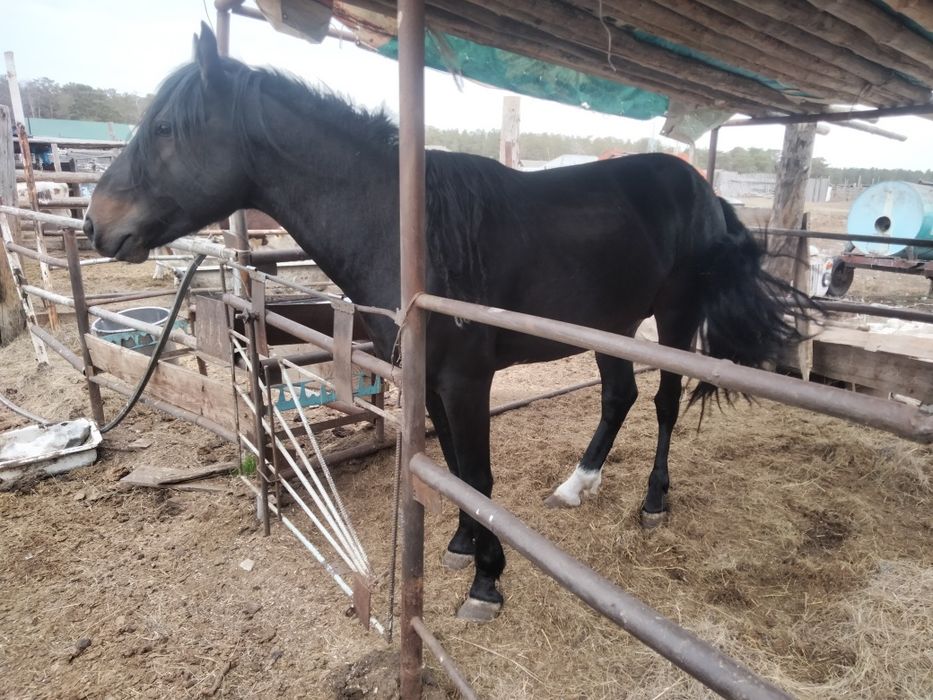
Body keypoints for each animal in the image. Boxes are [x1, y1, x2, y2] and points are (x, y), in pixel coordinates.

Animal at [85, 25, 805, 620]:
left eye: (166, 129)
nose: (96, 224)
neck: (411, 232)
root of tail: (704, 189)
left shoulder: (465, 380)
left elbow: (478, 475)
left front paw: (487, 581)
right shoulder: (427, 375)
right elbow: (454, 466)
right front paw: (463, 542)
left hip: (674, 317)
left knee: (662, 403)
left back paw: (654, 503)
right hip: (612, 323)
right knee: (618, 396)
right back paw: (576, 485)